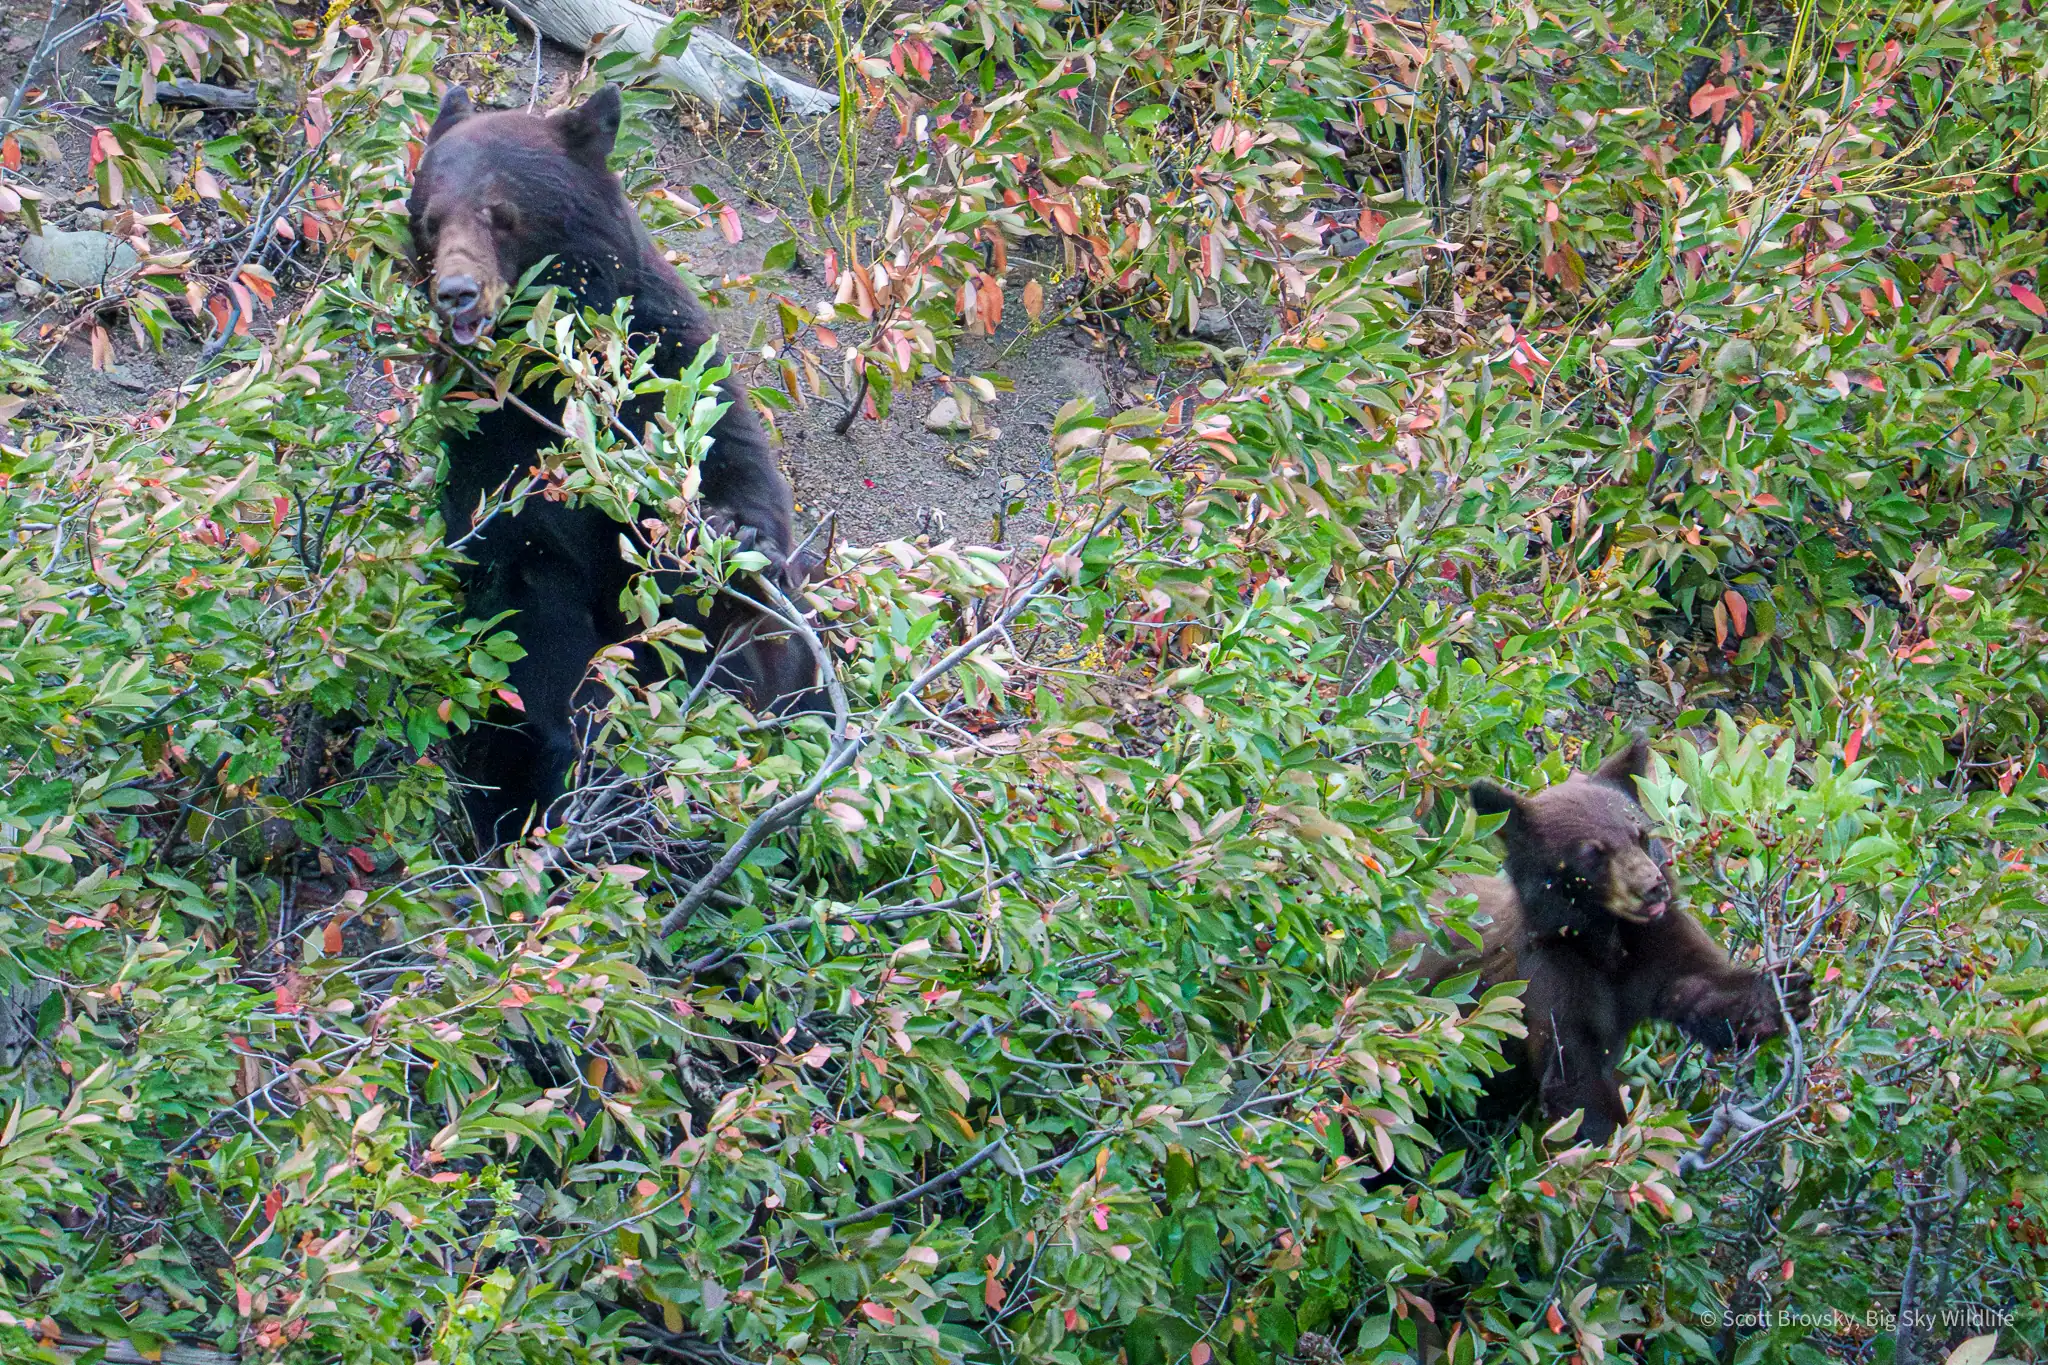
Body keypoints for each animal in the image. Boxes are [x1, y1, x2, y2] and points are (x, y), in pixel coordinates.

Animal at [407, 84, 820, 845]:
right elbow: (523, 582)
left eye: (501, 213)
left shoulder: (665, 355)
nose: (456, 293)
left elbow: (731, 455)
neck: (548, 372)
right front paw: (581, 740)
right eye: (428, 222)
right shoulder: (485, 437)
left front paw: (734, 539)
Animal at [1408, 739, 1814, 1144]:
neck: (1607, 943)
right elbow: (1574, 1075)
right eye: (1591, 854)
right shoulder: (1548, 973)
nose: (1653, 888)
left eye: (1641, 835)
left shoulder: (1657, 940)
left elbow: (1700, 988)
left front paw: (1782, 992)